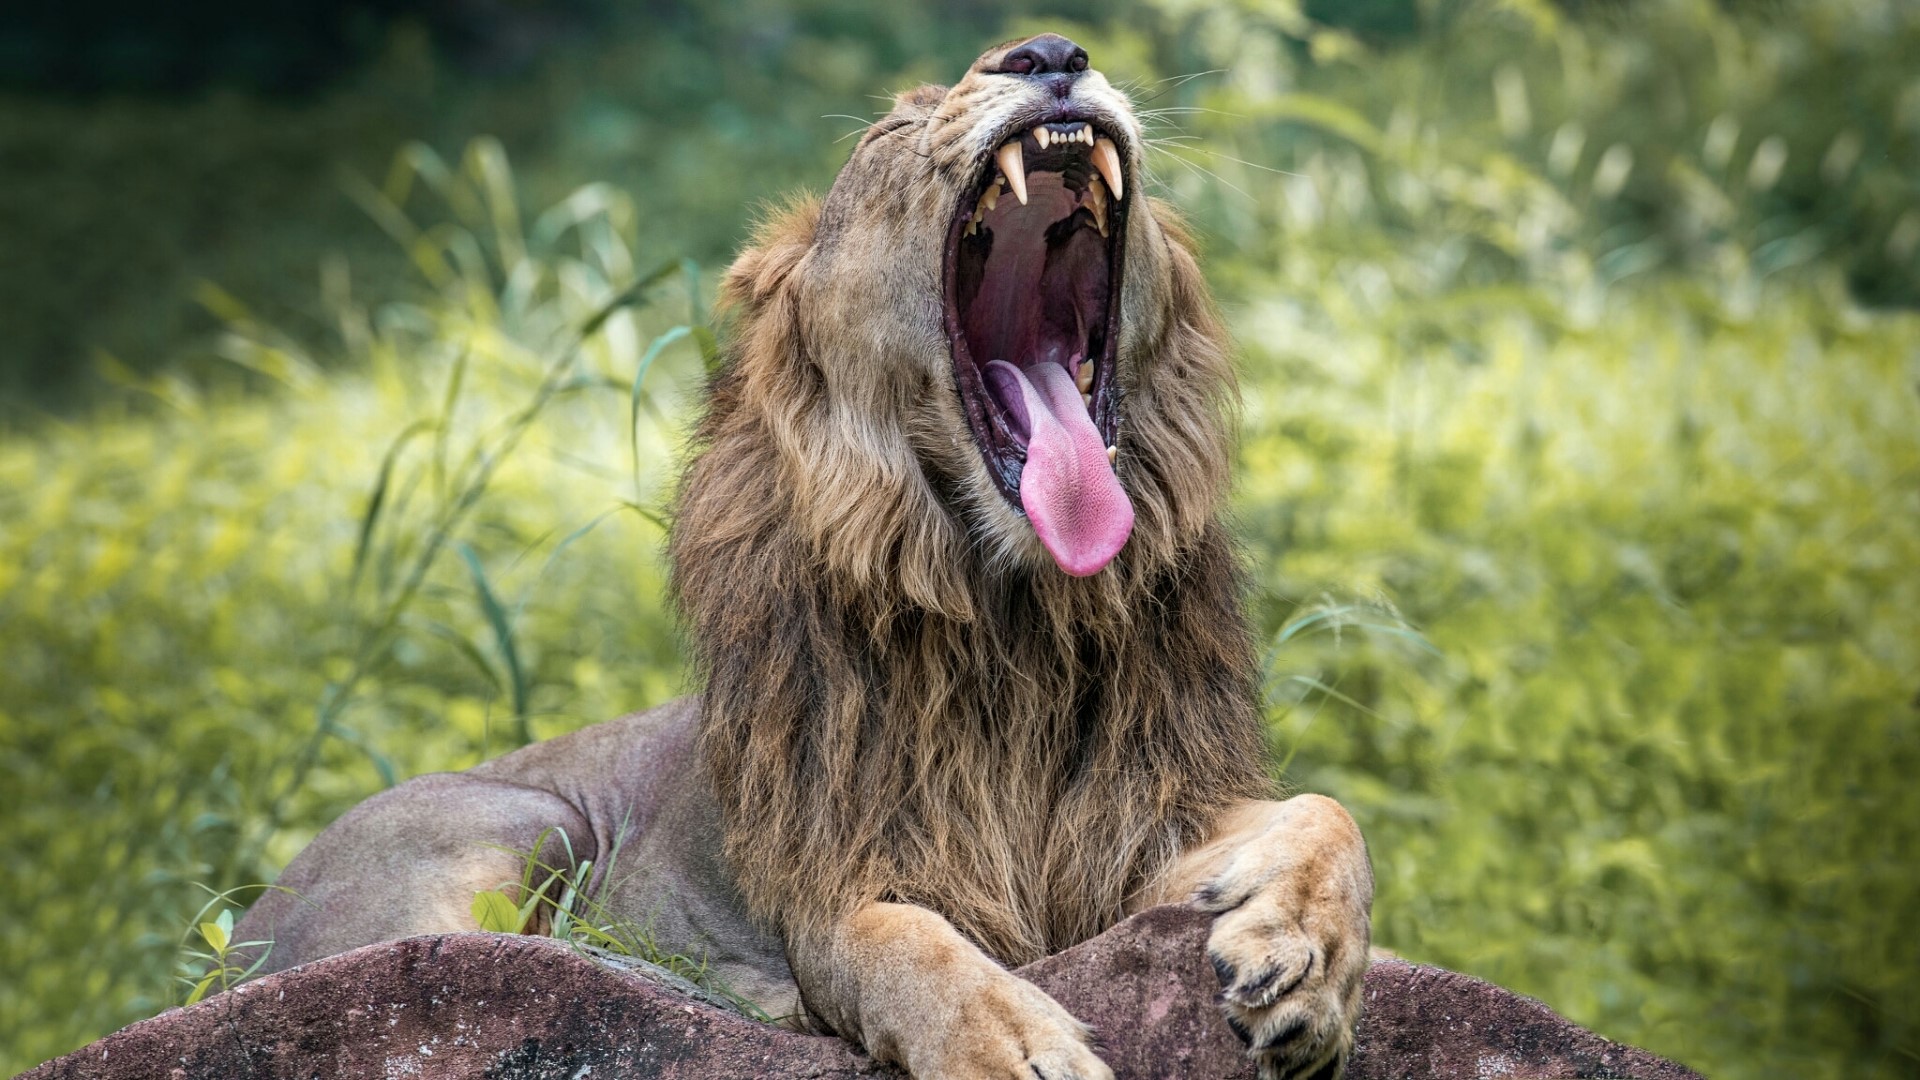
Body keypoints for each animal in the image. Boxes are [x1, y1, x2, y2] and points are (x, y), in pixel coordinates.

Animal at [233, 34, 1373, 1080]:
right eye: (888, 134)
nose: (1049, 51)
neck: (1009, 616)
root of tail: (245, 917)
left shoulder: (1131, 831)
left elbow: (1329, 815)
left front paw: (1301, 959)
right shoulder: (833, 871)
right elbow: (895, 940)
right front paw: (1013, 1046)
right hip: (518, 823)